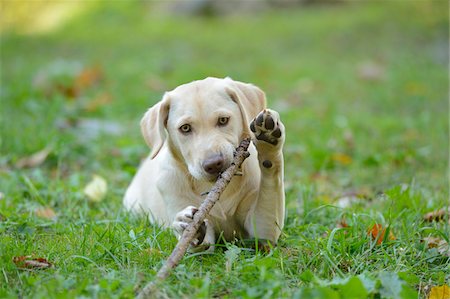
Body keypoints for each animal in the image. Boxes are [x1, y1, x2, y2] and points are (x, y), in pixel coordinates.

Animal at [123, 77, 284, 251]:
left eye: (223, 120)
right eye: (185, 128)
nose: (214, 164)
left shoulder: (261, 229)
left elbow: (270, 182)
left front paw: (268, 140)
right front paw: (187, 225)